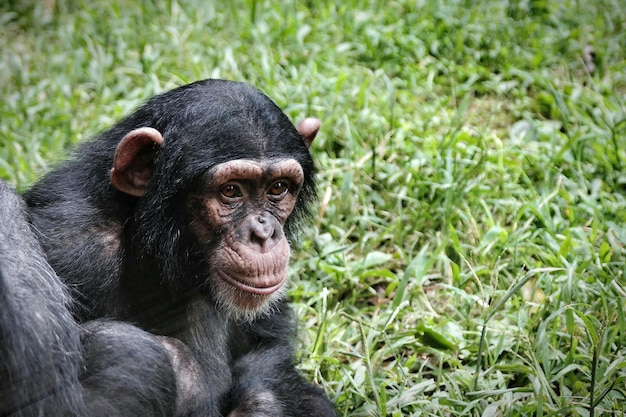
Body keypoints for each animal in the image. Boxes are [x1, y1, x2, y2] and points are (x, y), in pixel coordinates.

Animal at [0, 79, 334, 414]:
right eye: (231, 191)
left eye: (278, 188)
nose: (263, 233)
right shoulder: (73, 247)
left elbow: (266, 345)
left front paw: (261, 405)